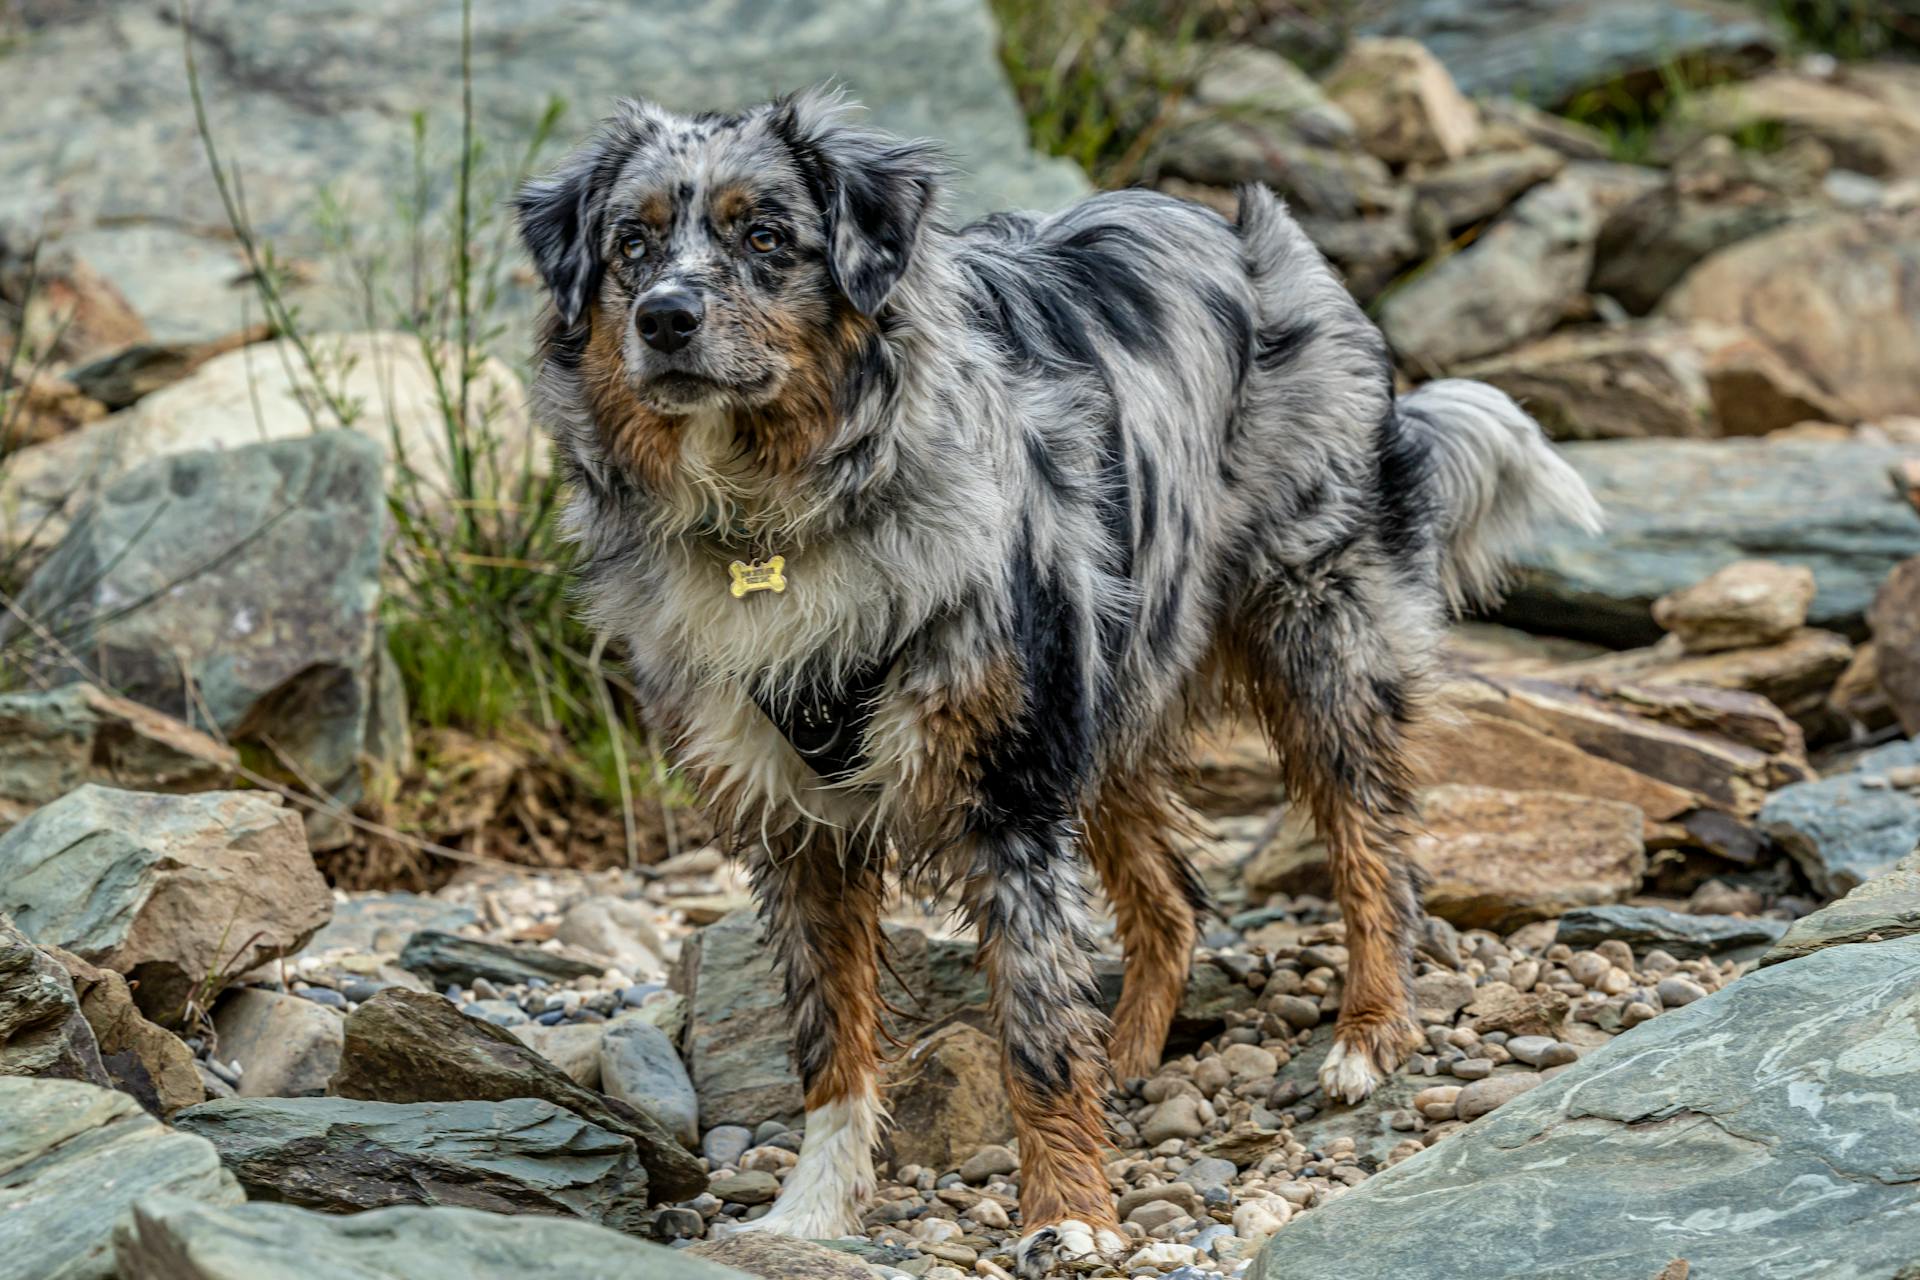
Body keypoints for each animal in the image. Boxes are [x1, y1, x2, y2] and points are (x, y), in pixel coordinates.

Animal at [518, 87, 1597, 1274]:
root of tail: (1253, 231)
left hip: (1319, 642)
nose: (664, 319)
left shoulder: (1010, 786)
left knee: (1375, 853)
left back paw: (1369, 1033)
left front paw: (1068, 1209)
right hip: (1110, 694)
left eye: (766, 235)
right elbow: (829, 1038)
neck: (780, 513)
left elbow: (1033, 1034)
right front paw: (811, 1211)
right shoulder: (795, 821)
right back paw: (1126, 1054)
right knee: (1168, 901)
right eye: (631, 245)